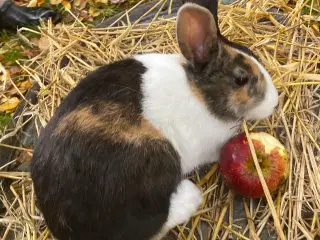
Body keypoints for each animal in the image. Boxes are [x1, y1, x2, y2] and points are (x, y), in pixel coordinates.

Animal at [31, 0, 278, 239]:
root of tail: (65, 227)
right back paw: (190, 196)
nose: (274, 101)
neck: (198, 92)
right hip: (155, 157)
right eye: (241, 80)